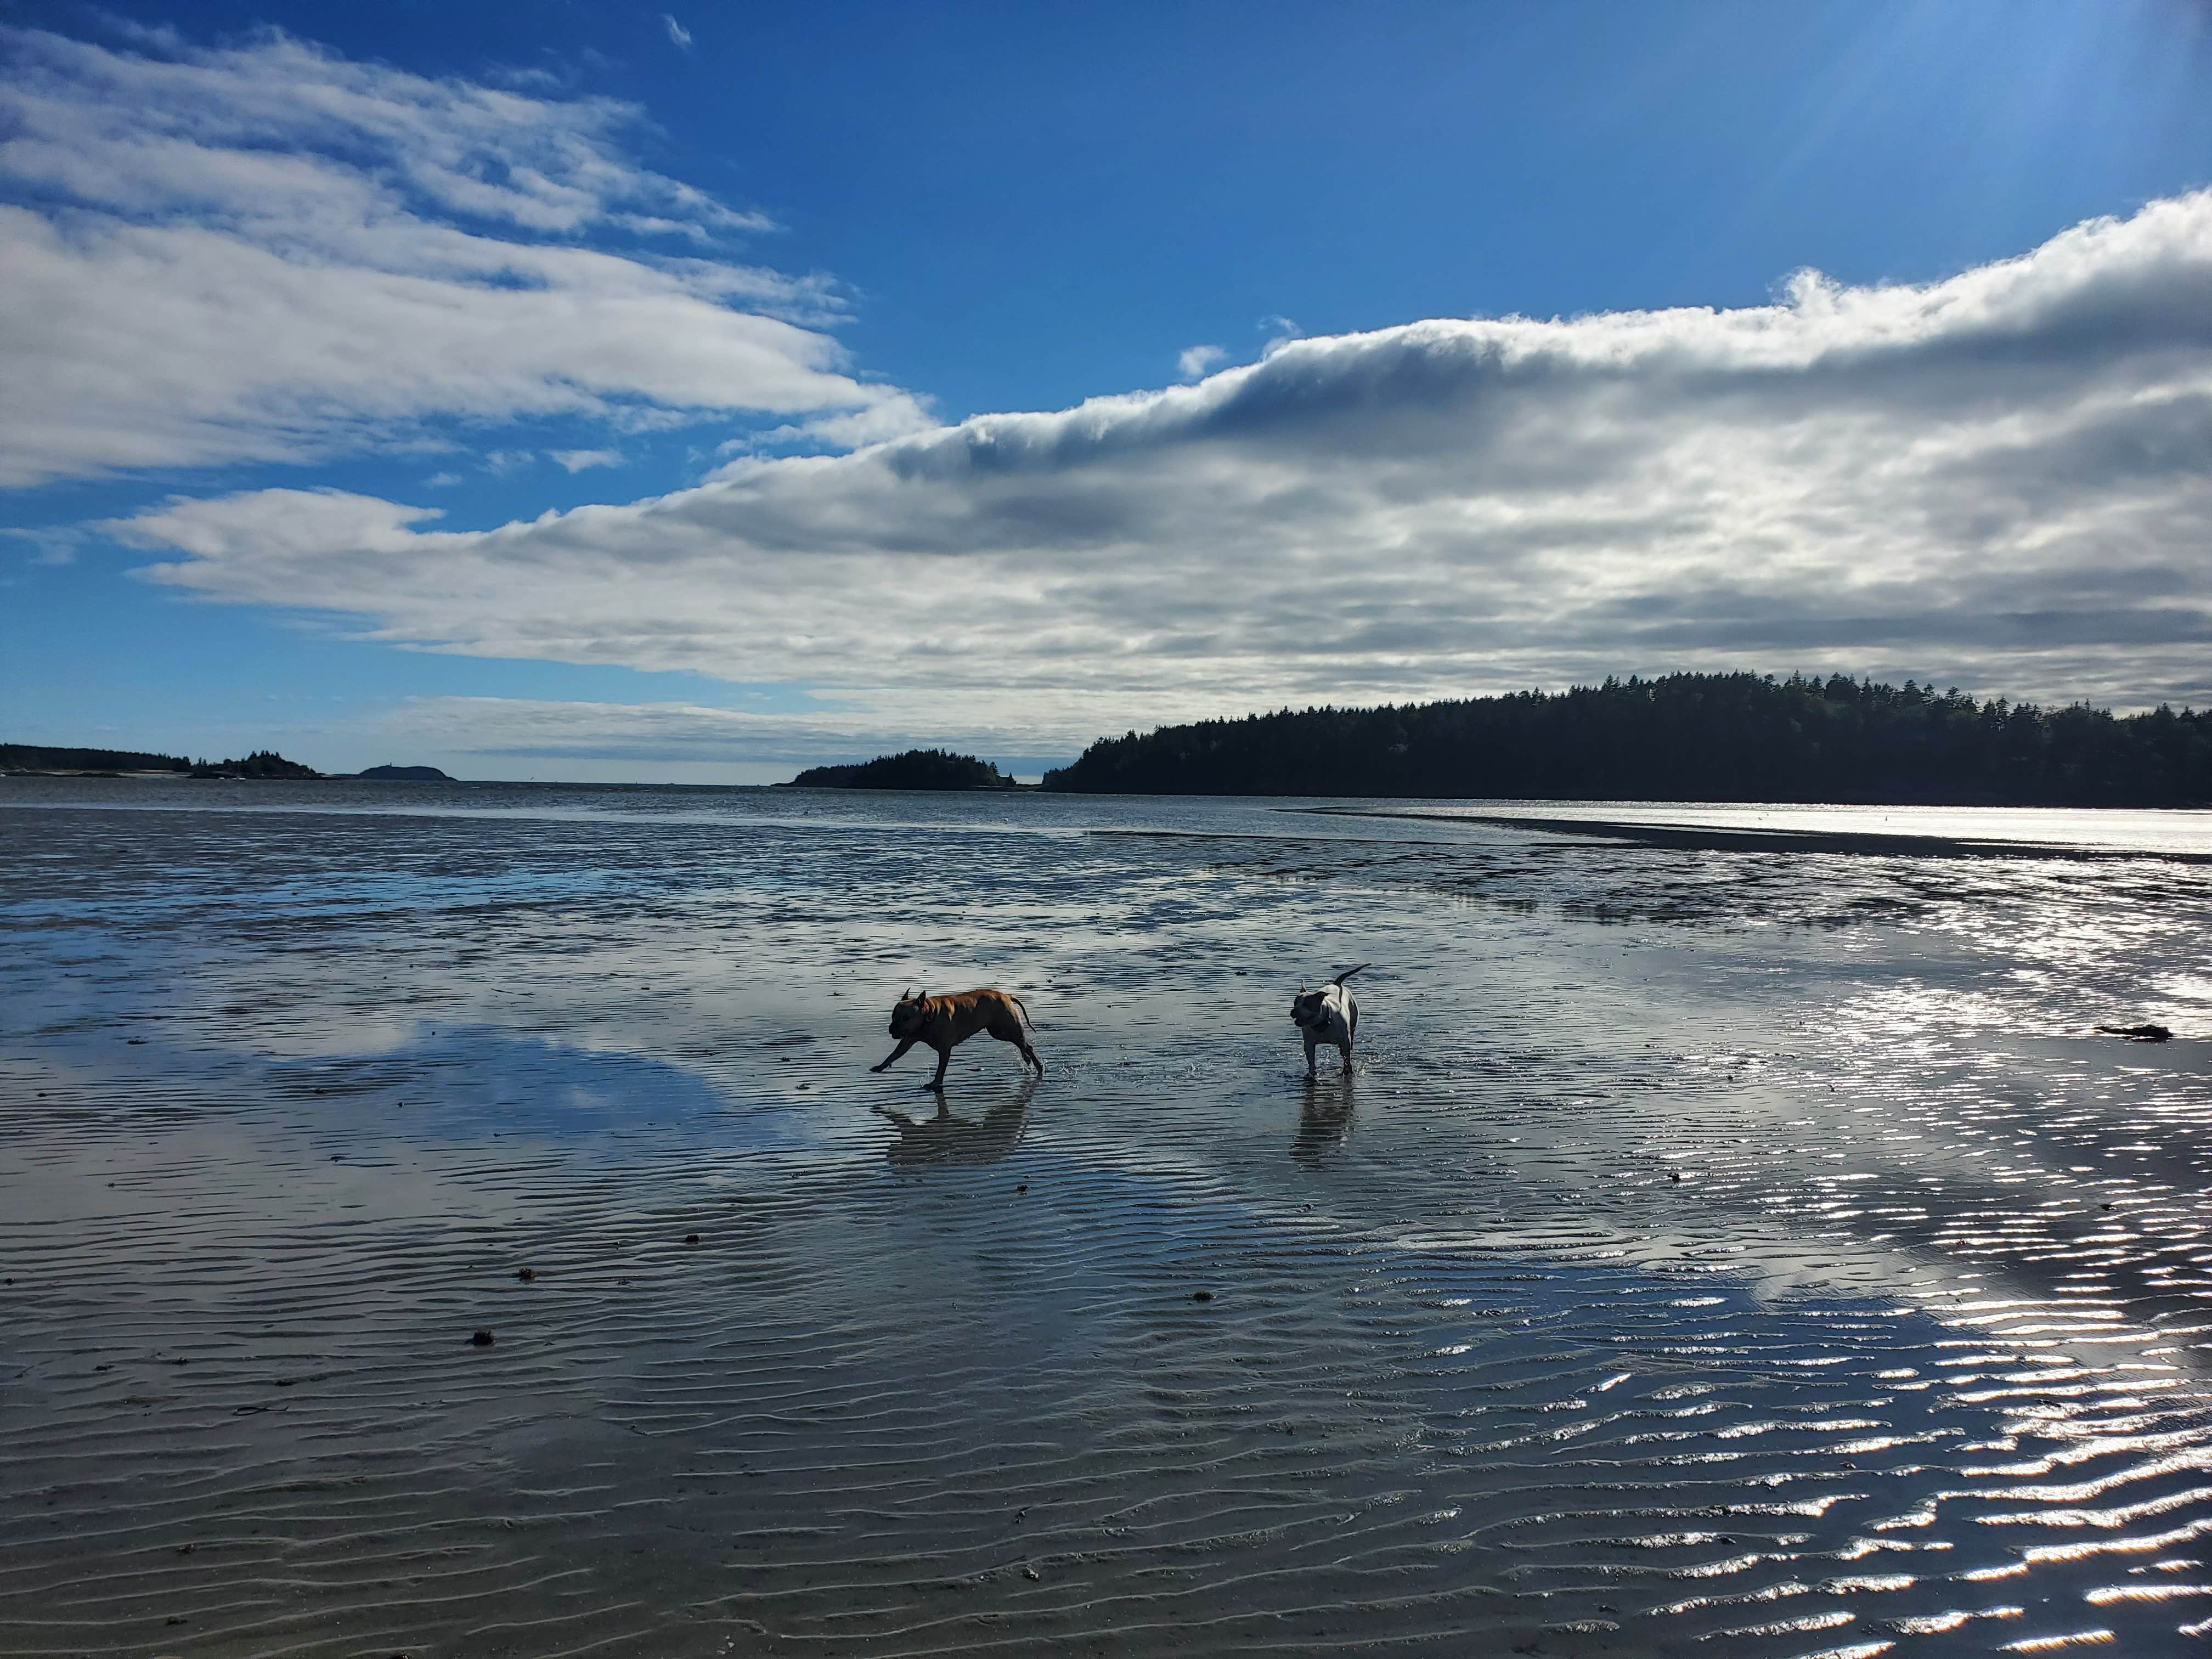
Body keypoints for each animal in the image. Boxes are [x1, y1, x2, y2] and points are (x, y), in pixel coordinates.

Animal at [867, 986, 1040, 1092]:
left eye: (906, 1018)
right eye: (893, 1016)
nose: (891, 1028)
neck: (928, 1017)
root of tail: (1006, 996)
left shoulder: (944, 1050)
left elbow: (940, 1070)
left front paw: (935, 1083)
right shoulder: (908, 1040)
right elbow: (894, 1054)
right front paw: (881, 1066)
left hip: (1006, 1029)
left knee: (1026, 1045)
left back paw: (1038, 1066)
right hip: (999, 1031)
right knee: (1023, 1045)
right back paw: (1027, 1058)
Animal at [1291, 960, 1362, 1079]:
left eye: (1307, 1004)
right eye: (1295, 1003)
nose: (1293, 1011)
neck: (1322, 1024)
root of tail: (1336, 984)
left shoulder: (1345, 1039)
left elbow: (1347, 1057)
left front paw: (1347, 1070)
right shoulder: (1309, 1043)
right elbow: (1311, 1059)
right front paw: (1312, 1073)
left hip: (1353, 1021)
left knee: (1351, 1037)